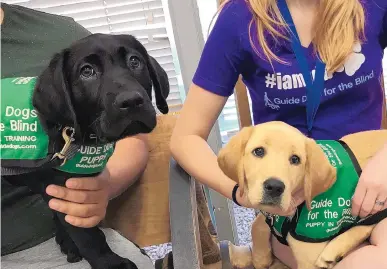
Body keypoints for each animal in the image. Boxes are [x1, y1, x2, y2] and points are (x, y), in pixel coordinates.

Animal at [0, 34, 170, 268]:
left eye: (135, 61)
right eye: (86, 71)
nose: (132, 101)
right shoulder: (67, 189)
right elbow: (87, 236)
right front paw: (110, 263)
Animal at [218, 121, 387, 268]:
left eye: (295, 159)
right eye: (258, 151)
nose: (275, 187)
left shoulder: (308, 261)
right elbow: (257, 223)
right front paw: (261, 257)